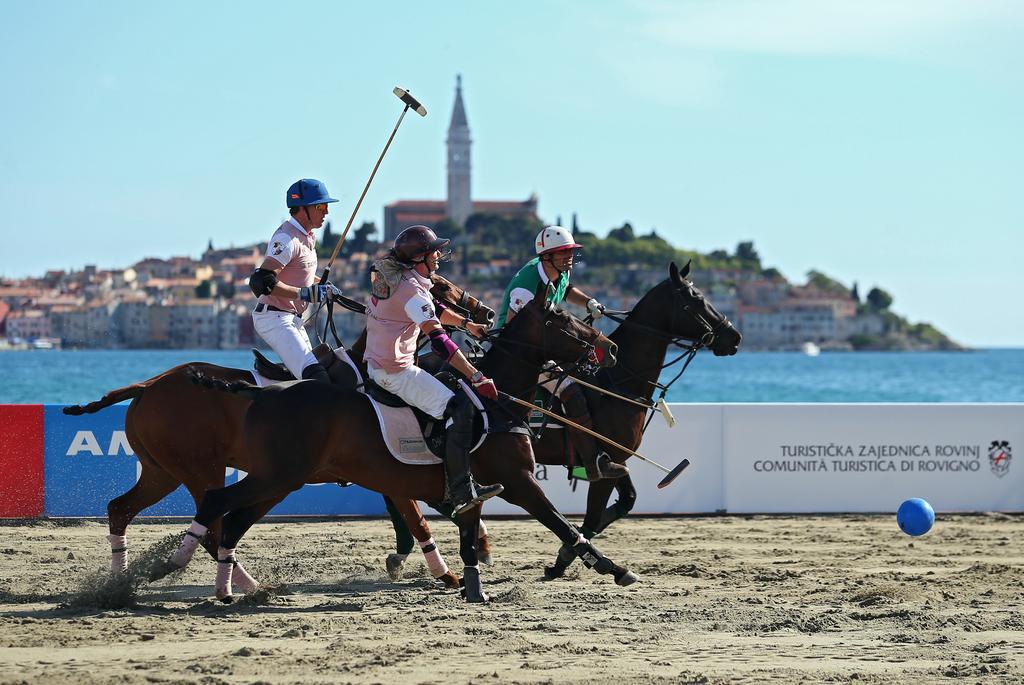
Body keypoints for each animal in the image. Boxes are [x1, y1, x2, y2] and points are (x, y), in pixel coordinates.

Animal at [61, 274, 493, 589]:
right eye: (441, 286)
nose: (486, 316)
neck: (361, 369)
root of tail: (147, 385)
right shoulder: (381, 462)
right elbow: (420, 511)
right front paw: (453, 561)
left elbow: (418, 511)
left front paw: (468, 548)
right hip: (201, 469)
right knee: (213, 523)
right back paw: (243, 585)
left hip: (162, 470)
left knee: (124, 509)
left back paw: (121, 582)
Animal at [168, 286, 630, 602]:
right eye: (561, 319)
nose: (609, 348)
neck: (497, 401)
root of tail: (264, 391)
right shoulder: (518, 481)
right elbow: (563, 525)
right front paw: (615, 568)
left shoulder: (472, 487)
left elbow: (468, 533)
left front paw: (471, 587)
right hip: (278, 475)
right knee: (216, 501)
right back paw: (175, 565)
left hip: (280, 479)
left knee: (233, 521)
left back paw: (227, 589)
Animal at [532, 260, 741, 577]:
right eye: (696, 299)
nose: (735, 338)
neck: (617, 378)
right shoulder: (603, 463)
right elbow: (592, 517)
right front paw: (573, 557)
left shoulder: (618, 459)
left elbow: (626, 502)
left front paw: (564, 555)